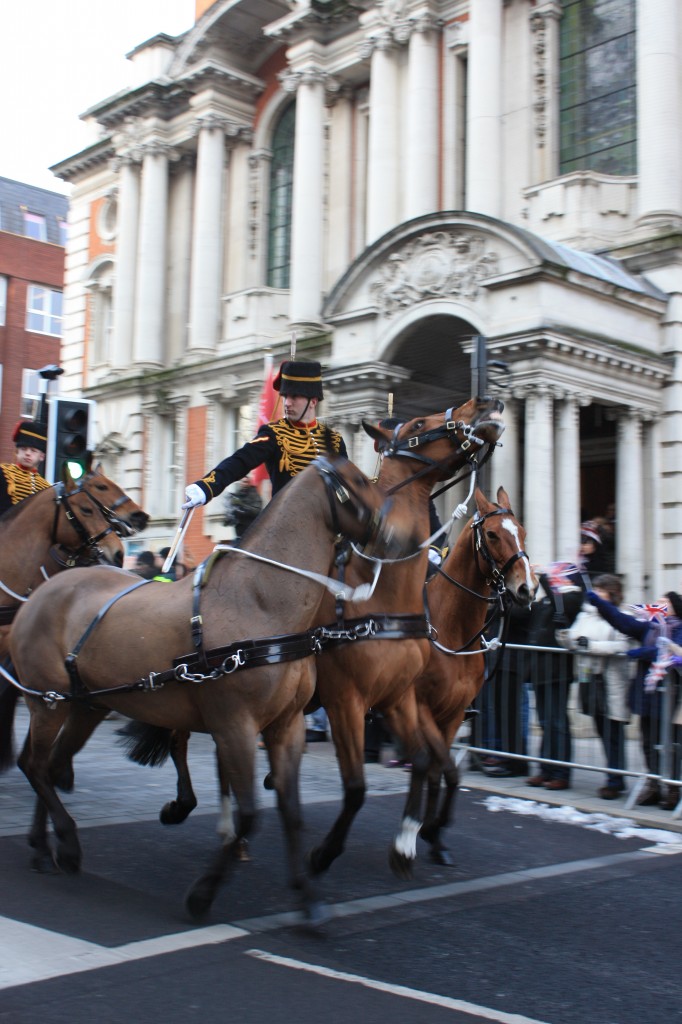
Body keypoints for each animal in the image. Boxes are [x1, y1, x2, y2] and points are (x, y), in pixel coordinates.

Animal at [409, 485, 536, 864]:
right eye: (492, 535)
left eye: (522, 531)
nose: (527, 589)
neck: (451, 628)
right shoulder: (420, 708)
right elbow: (447, 770)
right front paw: (430, 829)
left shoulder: (451, 713)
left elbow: (443, 773)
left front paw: (434, 833)